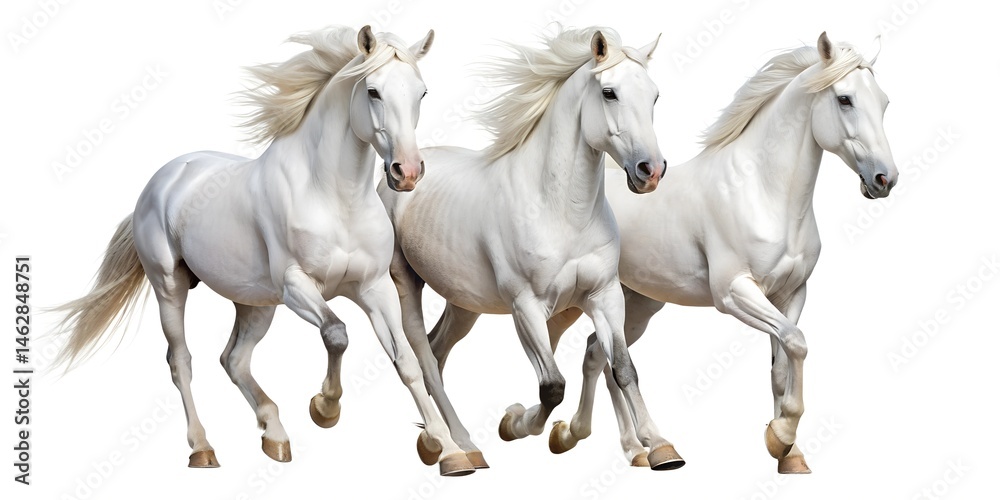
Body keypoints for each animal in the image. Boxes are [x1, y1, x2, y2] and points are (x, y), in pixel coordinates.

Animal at [51, 25, 478, 476]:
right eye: (373, 91)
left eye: (422, 92)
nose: (407, 173)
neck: (334, 199)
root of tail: (161, 180)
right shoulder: (296, 286)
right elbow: (337, 333)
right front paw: (325, 408)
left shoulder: (374, 289)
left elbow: (408, 363)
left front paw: (449, 451)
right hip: (170, 286)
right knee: (181, 361)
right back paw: (203, 449)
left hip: (254, 303)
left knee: (234, 359)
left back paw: (274, 435)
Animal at [378, 27, 684, 470]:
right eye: (609, 92)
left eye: (655, 95)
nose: (651, 171)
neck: (562, 214)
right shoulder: (526, 305)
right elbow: (552, 384)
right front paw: (515, 423)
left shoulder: (604, 296)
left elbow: (624, 369)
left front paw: (661, 447)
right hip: (406, 283)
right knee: (423, 354)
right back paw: (454, 450)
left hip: (464, 304)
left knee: (438, 348)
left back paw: (452, 442)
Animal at [527, 32, 897, 473]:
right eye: (844, 99)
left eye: (884, 101)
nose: (884, 179)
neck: (763, 193)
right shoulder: (735, 293)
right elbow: (797, 343)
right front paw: (782, 433)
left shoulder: (791, 293)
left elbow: (781, 366)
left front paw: (788, 453)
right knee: (595, 357)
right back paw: (597, 439)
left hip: (636, 304)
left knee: (598, 357)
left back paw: (636, 449)